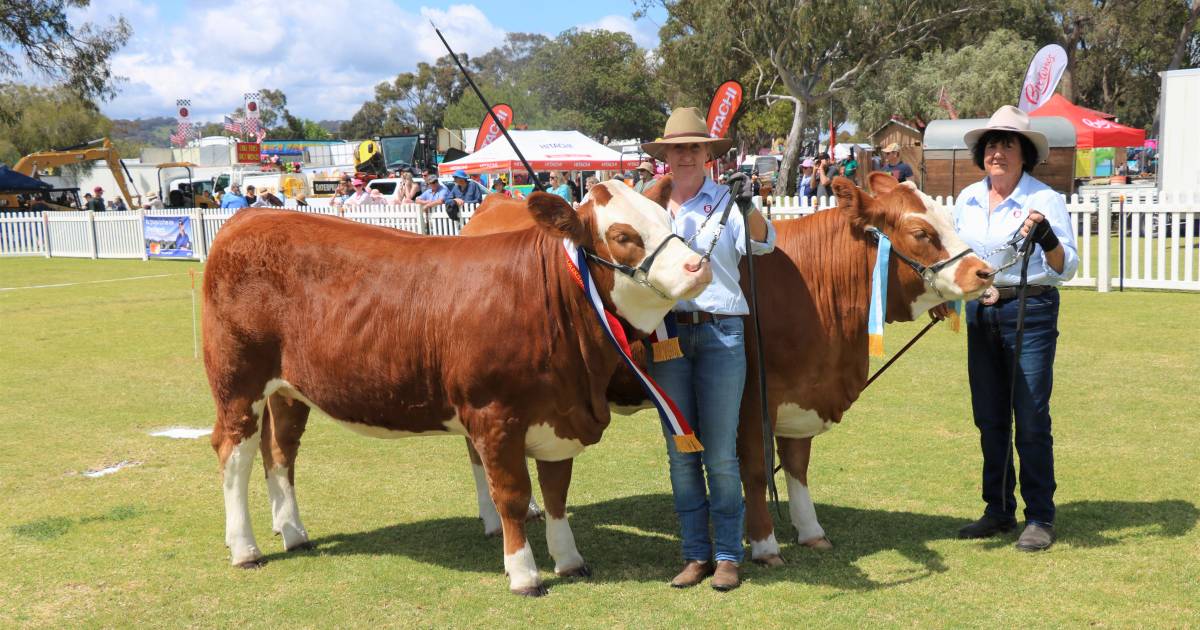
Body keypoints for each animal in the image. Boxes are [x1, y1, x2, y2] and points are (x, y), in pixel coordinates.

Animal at [204, 180, 710, 595]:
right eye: (624, 236)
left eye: (668, 221)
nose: (697, 265)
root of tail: (251, 217)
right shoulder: (494, 414)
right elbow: (513, 495)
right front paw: (524, 574)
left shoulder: (559, 415)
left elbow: (556, 492)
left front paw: (569, 560)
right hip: (237, 382)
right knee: (234, 453)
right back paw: (245, 548)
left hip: (288, 391)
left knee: (280, 450)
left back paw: (293, 532)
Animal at [458, 171, 993, 559]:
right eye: (922, 232)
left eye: (950, 222)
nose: (985, 272)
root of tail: (493, 206)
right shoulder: (752, 397)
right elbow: (755, 470)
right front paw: (764, 542)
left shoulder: (800, 396)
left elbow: (796, 466)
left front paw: (810, 529)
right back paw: (496, 520)